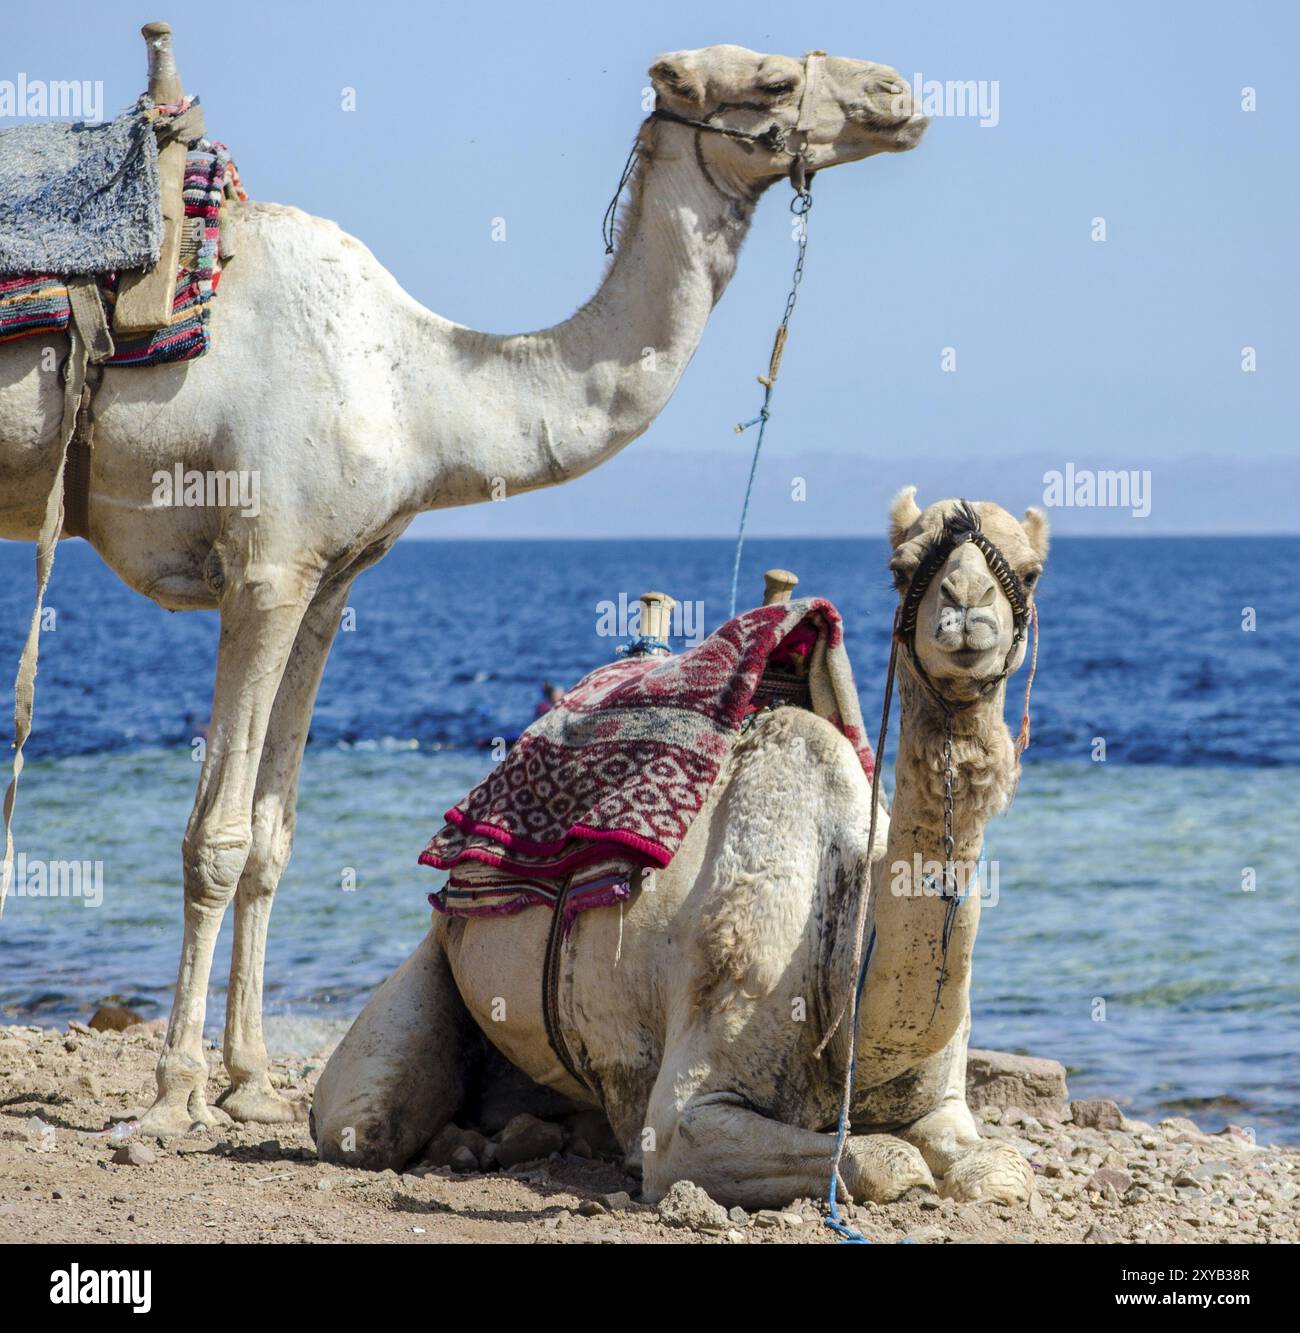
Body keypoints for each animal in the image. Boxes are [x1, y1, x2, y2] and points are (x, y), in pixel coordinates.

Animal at [312, 490, 1045, 1210]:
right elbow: (885, 1161)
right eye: (902, 566)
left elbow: (1000, 1169)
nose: (965, 605)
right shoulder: (688, 1116)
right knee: (361, 1119)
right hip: (434, 958)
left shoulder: (942, 1103)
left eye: (1031, 570)